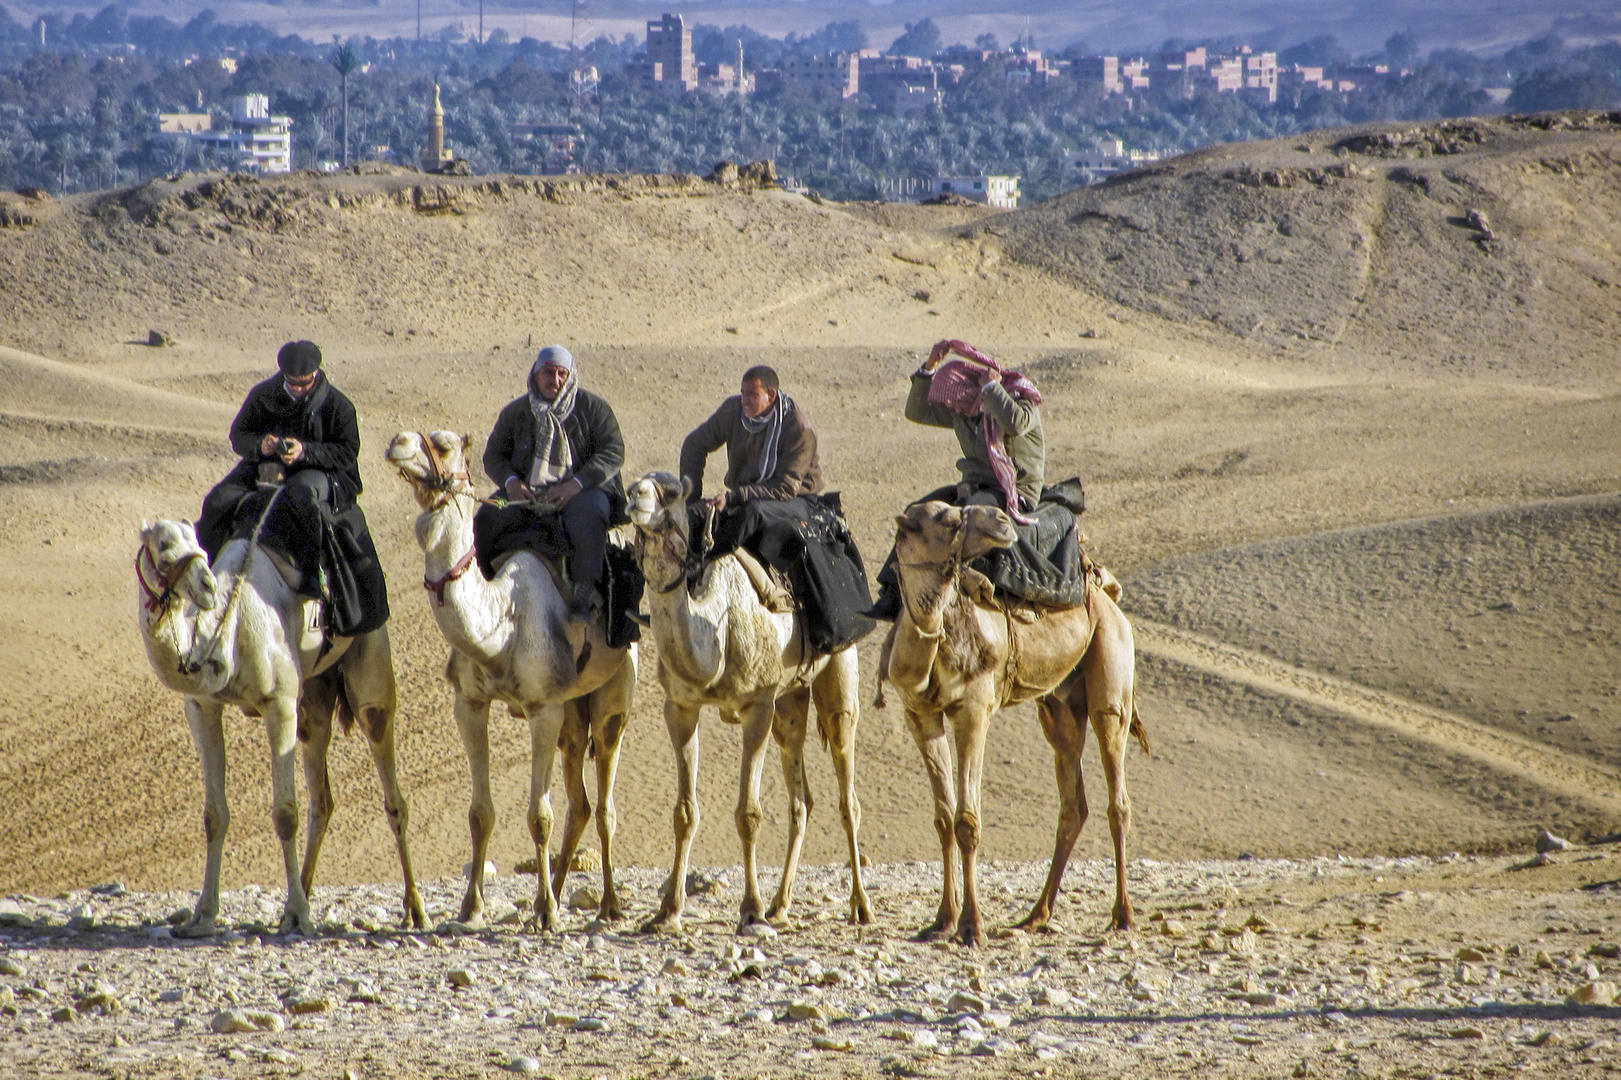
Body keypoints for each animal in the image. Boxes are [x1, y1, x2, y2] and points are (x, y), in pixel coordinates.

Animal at [134, 515, 424, 934]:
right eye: (164, 545)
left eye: (199, 545)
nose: (206, 586)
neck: (227, 634)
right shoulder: (202, 707)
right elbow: (213, 815)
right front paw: (202, 916)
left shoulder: (280, 704)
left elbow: (285, 814)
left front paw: (300, 915)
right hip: (314, 697)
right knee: (322, 797)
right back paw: (301, 893)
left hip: (370, 664)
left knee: (391, 791)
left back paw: (414, 909)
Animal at [387, 428, 638, 927]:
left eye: (444, 445)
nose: (397, 442)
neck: (502, 618)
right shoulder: (469, 703)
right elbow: (480, 813)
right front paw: (472, 907)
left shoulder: (543, 709)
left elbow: (539, 817)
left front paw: (547, 913)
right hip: (573, 713)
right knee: (580, 803)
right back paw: (557, 888)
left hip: (612, 696)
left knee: (604, 805)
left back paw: (607, 903)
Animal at [622, 473, 875, 934]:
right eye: (633, 484)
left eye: (672, 493)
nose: (636, 497)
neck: (714, 628)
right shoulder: (679, 707)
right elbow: (684, 813)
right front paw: (667, 911)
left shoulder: (758, 705)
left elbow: (748, 814)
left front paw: (750, 909)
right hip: (791, 699)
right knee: (801, 799)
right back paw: (781, 905)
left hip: (839, 668)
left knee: (847, 794)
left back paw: (859, 906)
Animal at [881, 499, 1147, 940]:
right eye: (948, 520)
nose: (1002, 521)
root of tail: (1106, 594)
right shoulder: (919, 715)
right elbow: (943, 819)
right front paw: (942, 921)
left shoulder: (973, 709)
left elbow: (966, 821)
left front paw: (971, 926)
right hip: (1059, 706)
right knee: (1073, 803)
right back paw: (1036, 915)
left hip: (1111, 668)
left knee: (1117, 797)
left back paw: (1122, 915)